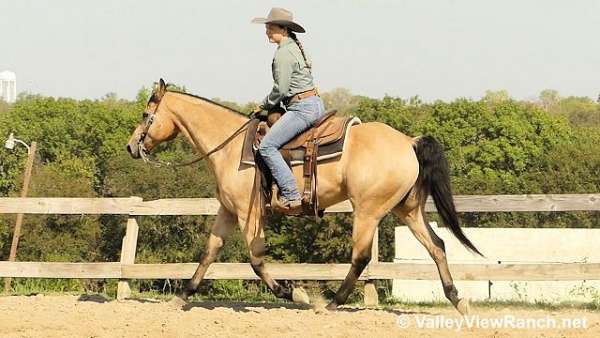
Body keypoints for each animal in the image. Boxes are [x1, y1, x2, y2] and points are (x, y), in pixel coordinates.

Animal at [126, 79, 482, 314]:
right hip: (406, 210)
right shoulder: (227, 211)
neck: (230, 146)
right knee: (437, 246)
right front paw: (182, 295)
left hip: (368, 211)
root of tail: (409, 141)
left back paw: (331, 303)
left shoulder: (248, 214)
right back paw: (458, 299)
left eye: (145, 115)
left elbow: (256, 260)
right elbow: (209, 253)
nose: (131, 147)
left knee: (361, 257)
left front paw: (294, 294)